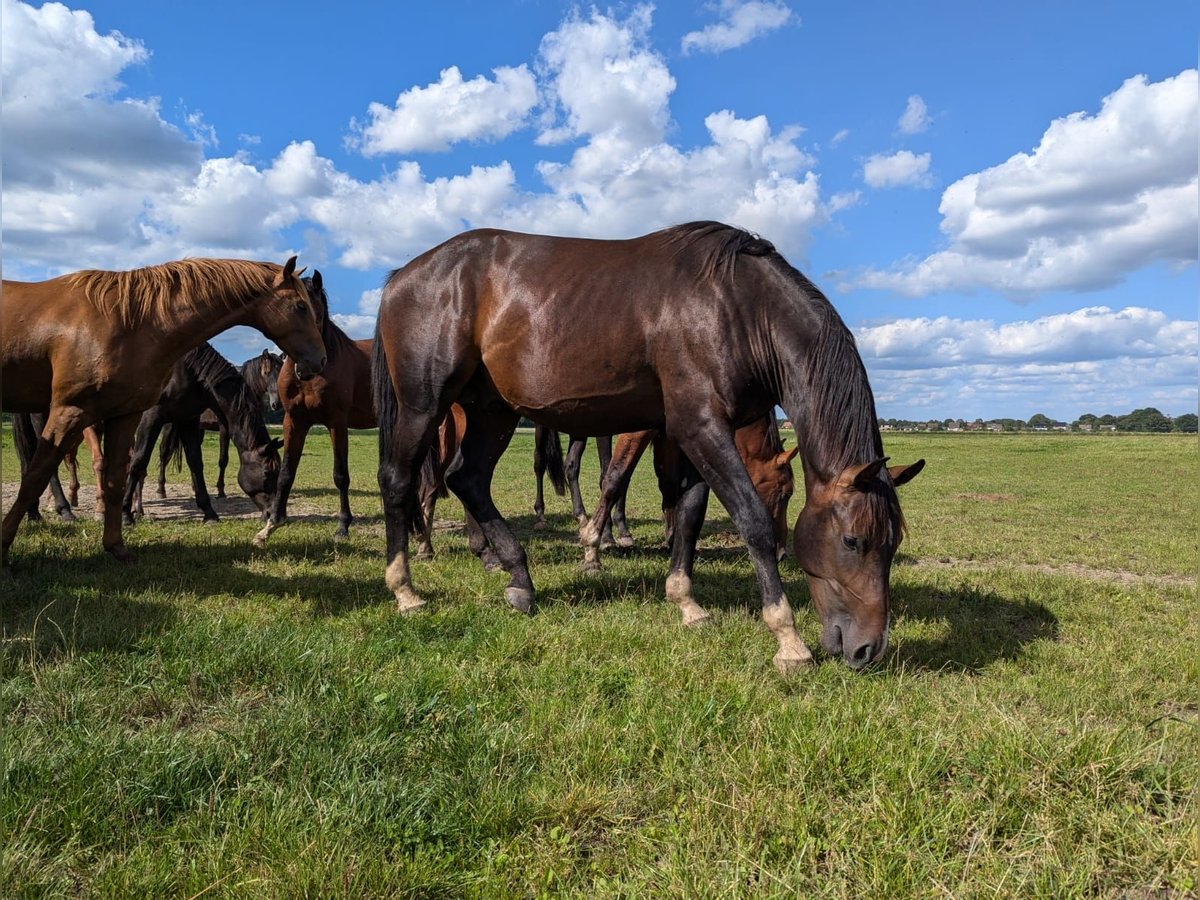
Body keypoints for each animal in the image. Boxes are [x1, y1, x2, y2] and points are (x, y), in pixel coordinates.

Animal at [124, 340, 283, 525]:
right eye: (267, 473)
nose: (273, 514)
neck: (188, 372)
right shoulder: (152, 418)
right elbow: (139, 461)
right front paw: (126, 515)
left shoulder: (189, 420)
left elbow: (195, 462)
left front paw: (209, 512)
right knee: (161, 454)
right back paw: (157, 492)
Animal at [255, 271, 376, 547]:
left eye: (314, 309)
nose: (308, 365)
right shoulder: (294, 422)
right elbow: (286, 472)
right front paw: (271, 525)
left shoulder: (337, 423)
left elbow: (340, 475)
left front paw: (343, 527)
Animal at [369, 224, 921, 676]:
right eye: (852, 541)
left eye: (892, 543)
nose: (867, 650)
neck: (738, 308)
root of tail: (401, 277)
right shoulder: (701, 427)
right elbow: (750, 521)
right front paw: (788, 639)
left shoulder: (686, 432)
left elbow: (689, 515)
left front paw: (685, 603)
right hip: (424, 406)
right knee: (399, 480)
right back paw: (405, 590)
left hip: (493, 410)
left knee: (468, 478)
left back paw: (520, 579)